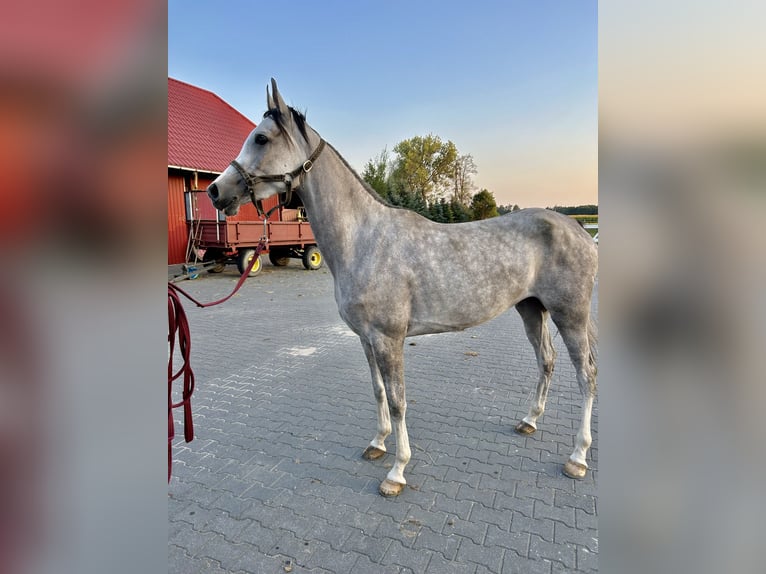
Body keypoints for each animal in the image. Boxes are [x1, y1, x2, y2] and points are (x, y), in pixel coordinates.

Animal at [210, 81, 600, 500]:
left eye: (261, 138)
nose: (216, 191)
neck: (363, 239)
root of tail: (580, 229)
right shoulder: (367, 339)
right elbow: (379, 391)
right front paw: (377, 444)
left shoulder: (388, 338)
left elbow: (398, 402)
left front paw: (396, 472)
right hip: (531, 309)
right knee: (547, 361)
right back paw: (529, 421)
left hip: (570, 316)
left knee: (586, 375)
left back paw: (578, 457)